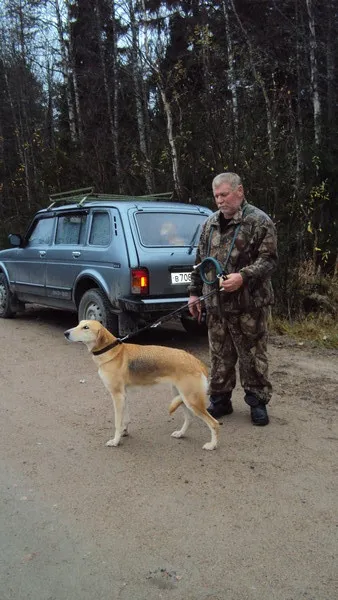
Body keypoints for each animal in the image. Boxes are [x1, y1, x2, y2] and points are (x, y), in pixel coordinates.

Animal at [64, 318, 219, 450]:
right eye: (79, 324)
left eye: (86, 327)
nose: (65, 333)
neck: (111, 351)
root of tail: (197, 362)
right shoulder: (124, 395)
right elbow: (125, 419)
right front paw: (124, 432)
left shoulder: (117, 396)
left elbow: (117, 422)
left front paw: (115, 441)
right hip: (181, 397)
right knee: (189, 418)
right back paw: (181, 434)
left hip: (191, 400)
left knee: (214, 424)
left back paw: (212, 445)